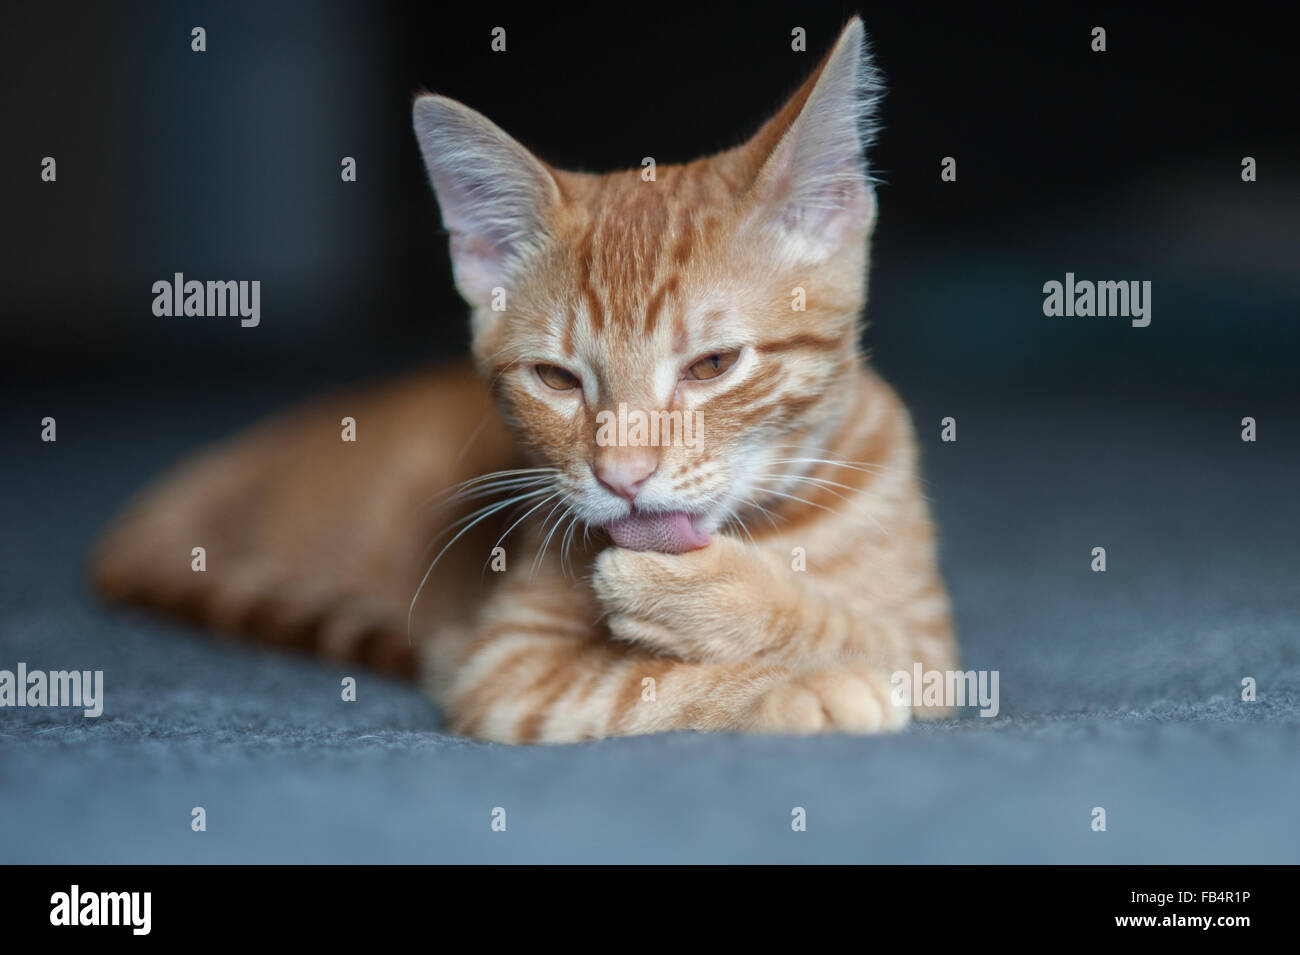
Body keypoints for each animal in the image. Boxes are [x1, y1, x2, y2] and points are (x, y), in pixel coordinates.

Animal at [91, 18, 956, 743]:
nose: (622, 476)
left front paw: (717, 602)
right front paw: (790, 682)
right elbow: (637, 682)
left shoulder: (937, 646)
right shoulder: (505, 664)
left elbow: (877, 635)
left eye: (712, 365)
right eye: (556, 378)